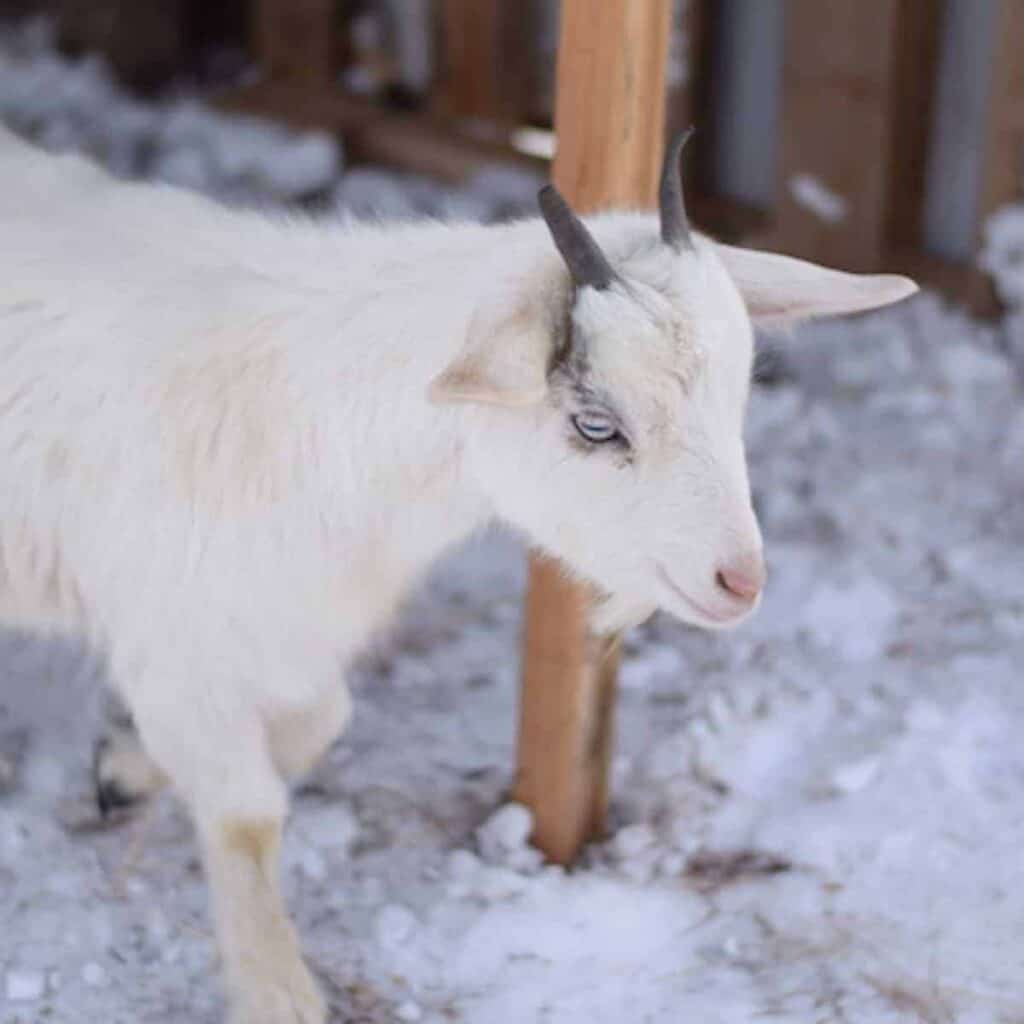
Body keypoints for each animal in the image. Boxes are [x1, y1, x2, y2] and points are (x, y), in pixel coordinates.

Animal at [0, 130, 917, 1024]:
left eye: (739, 395)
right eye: (596, 424)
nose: (739, 580)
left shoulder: (283, 631)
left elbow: (323, 720)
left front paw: (123, 768)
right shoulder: (170, 639)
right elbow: (247, 815)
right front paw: (278, 995)